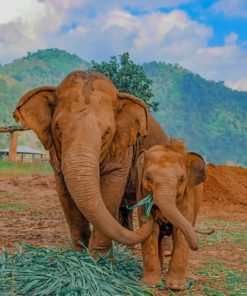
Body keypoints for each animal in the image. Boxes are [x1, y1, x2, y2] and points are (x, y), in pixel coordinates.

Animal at [135, 140, 206, 290]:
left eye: (182, 179)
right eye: (148, 178)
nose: (196, 247)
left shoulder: (188, 197)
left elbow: (180, 234)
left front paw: (175, 287)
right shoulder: (141, 193)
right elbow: (151, 231)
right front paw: (150, 284)